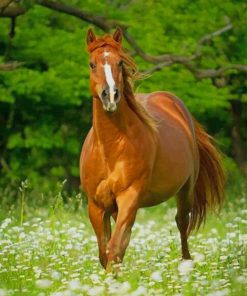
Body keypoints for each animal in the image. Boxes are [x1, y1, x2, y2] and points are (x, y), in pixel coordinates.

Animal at [80, 27, 225, 270]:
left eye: (120, 62)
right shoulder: (97, 206)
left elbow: (115, 248)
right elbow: (105, 251)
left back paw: (186, 265)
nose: (111, 96)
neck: (109, 149)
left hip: (185, 190)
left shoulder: (129, 198)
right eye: (92, 64)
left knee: (181, 223)